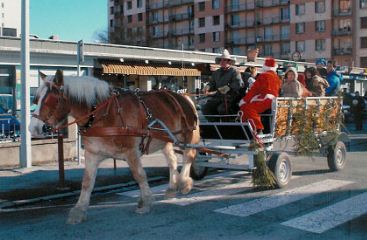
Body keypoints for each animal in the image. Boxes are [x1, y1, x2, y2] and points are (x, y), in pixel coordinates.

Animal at [28, 70, 201, 224]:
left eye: (51, 100)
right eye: (36, 99)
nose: (33, 128)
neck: (100, 114)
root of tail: (184, 96)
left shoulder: (131, 152)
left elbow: (139, 175)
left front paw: (146, 202)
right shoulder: (92, 154)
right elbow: (87, 182)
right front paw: (79, 210)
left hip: (185, 135)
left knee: (189, 155)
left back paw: (184, 182)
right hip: (164, 140)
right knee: (172, 161)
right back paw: (172, 187)